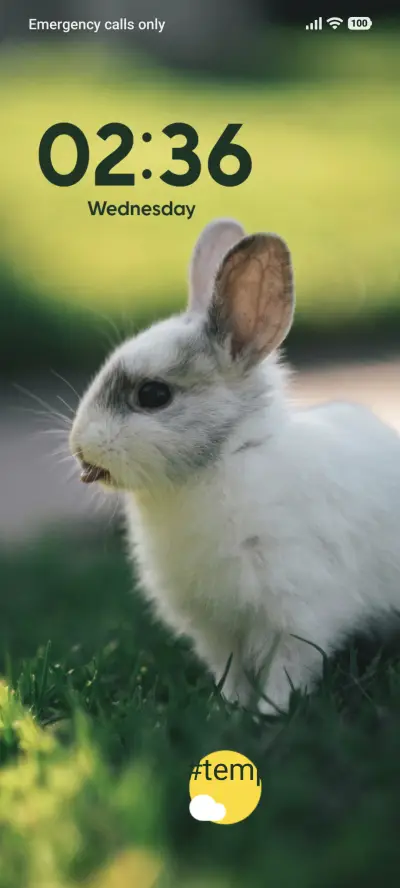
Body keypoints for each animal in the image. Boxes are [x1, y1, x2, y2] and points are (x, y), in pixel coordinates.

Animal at [70, 218, 400, 715]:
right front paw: (229, 708)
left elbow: (287, 668)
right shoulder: (215, 627)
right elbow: (232, 670)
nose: (80, 449)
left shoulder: (295, 612)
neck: (224, 461)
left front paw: (271, 713)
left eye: (153, 395)